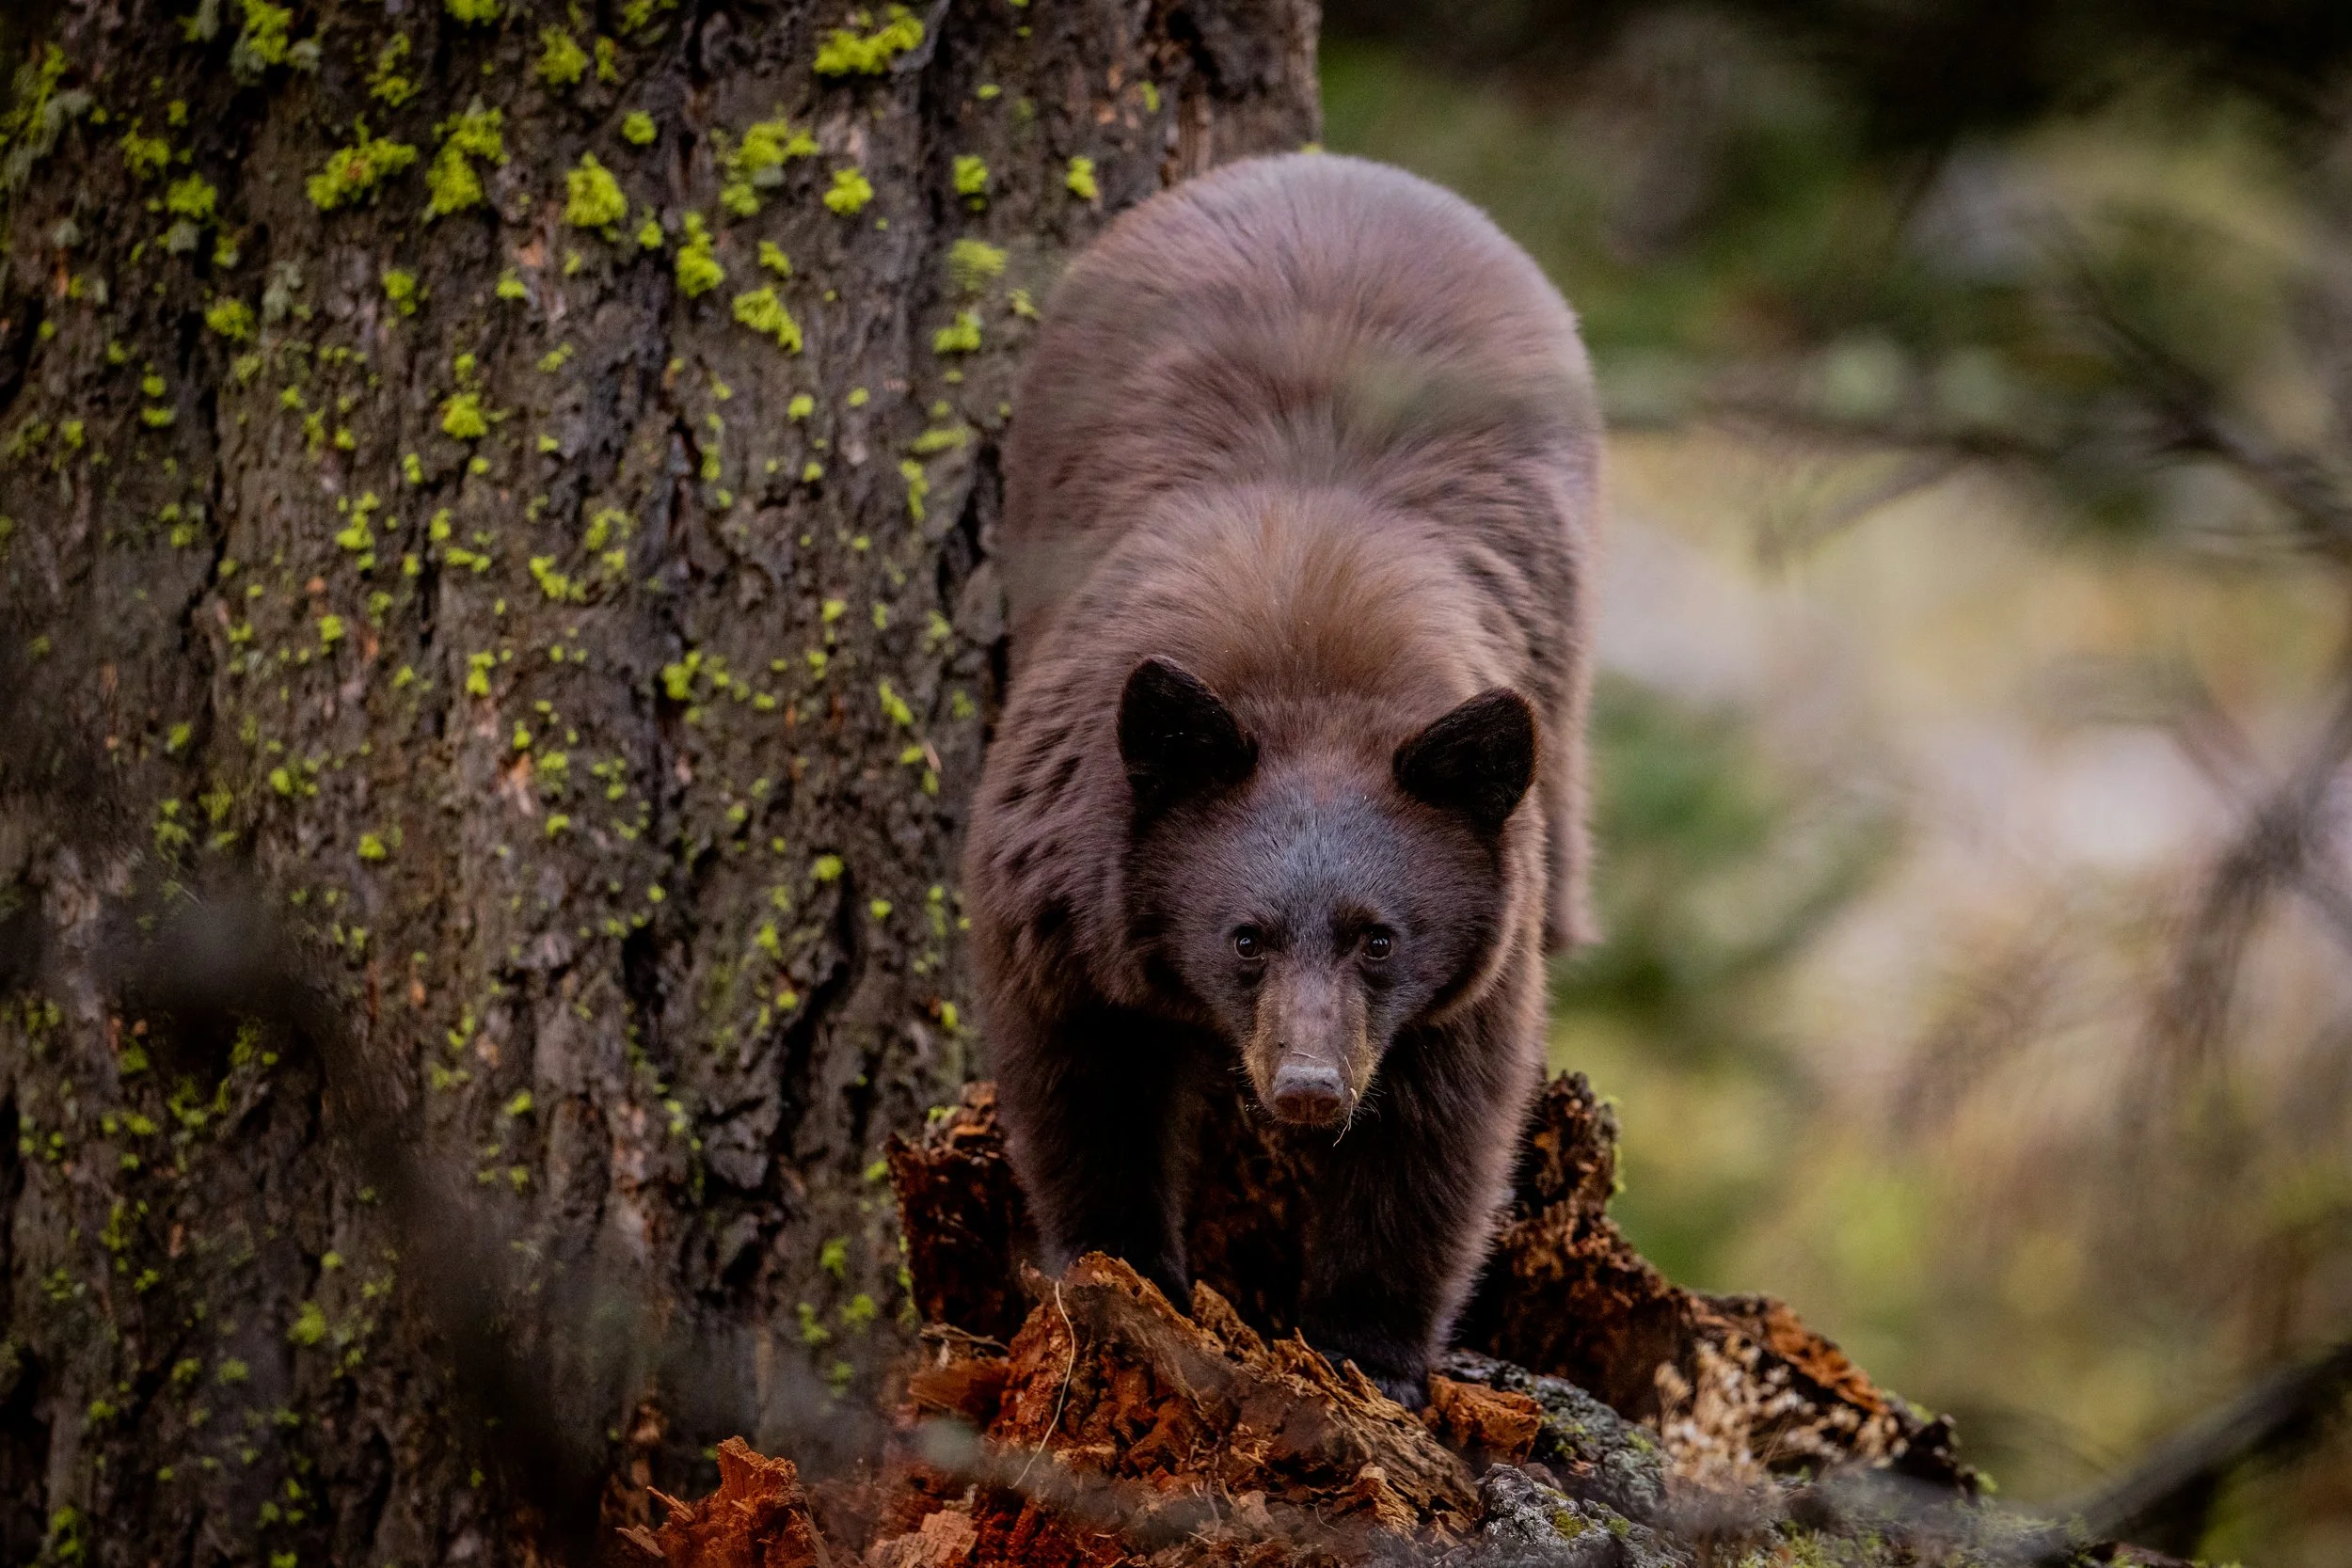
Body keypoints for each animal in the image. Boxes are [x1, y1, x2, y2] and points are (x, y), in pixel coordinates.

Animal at [962, 152, 1602, 1407]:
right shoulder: (1056, 862)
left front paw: (1369, 1351)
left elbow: (1441, 1131)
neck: (1312, 665)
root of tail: (1342, 164)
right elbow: (1074, 1070)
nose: (1308, 1086)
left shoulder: (1481, 940)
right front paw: (1122, 1268)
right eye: (1245, 934)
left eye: (1381, 937)